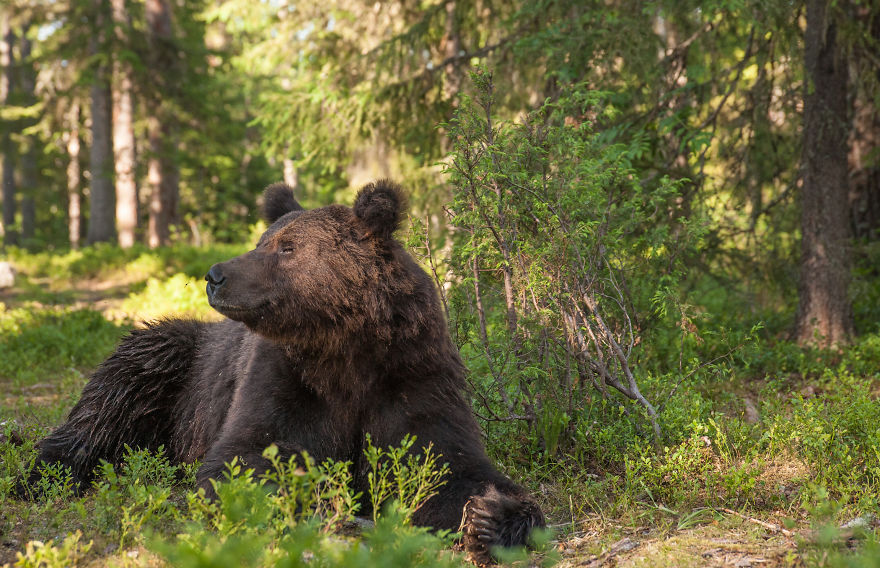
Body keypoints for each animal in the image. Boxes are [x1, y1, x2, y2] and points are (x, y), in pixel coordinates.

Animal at [20, 180, 544, 564]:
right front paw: (322, 500)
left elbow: (447, 464)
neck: (346, 349)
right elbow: (250, 454)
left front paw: (490, 518)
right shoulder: (285, 379)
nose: (215, 275)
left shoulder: (411, 375)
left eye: (287, 248)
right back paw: (46, 472)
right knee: (114, 395)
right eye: (262, 241)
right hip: (175, 363)